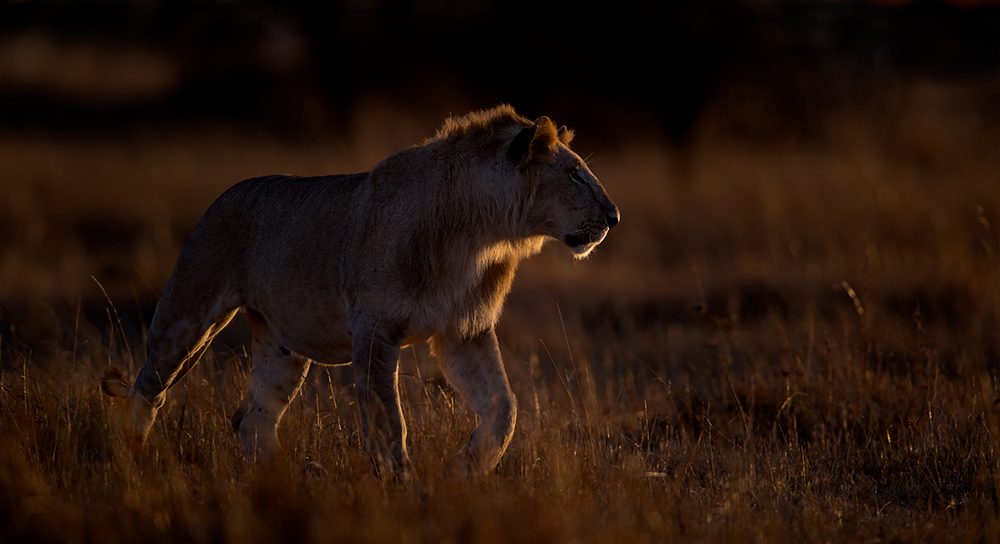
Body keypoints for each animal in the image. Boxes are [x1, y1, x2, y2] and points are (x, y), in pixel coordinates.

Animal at [101, 104, 619, 475]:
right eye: (574, 174)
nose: (614, 217)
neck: (479, 234)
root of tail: (223, 196)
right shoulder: (375, 331)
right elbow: (390, 422)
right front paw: (404, 487)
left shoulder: (462, 332)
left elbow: (503, 409)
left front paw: (466, 469)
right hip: (187, 317)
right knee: (147, 389)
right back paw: (132, 456)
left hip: (281, 345)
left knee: (253, 420)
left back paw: (282, 485)